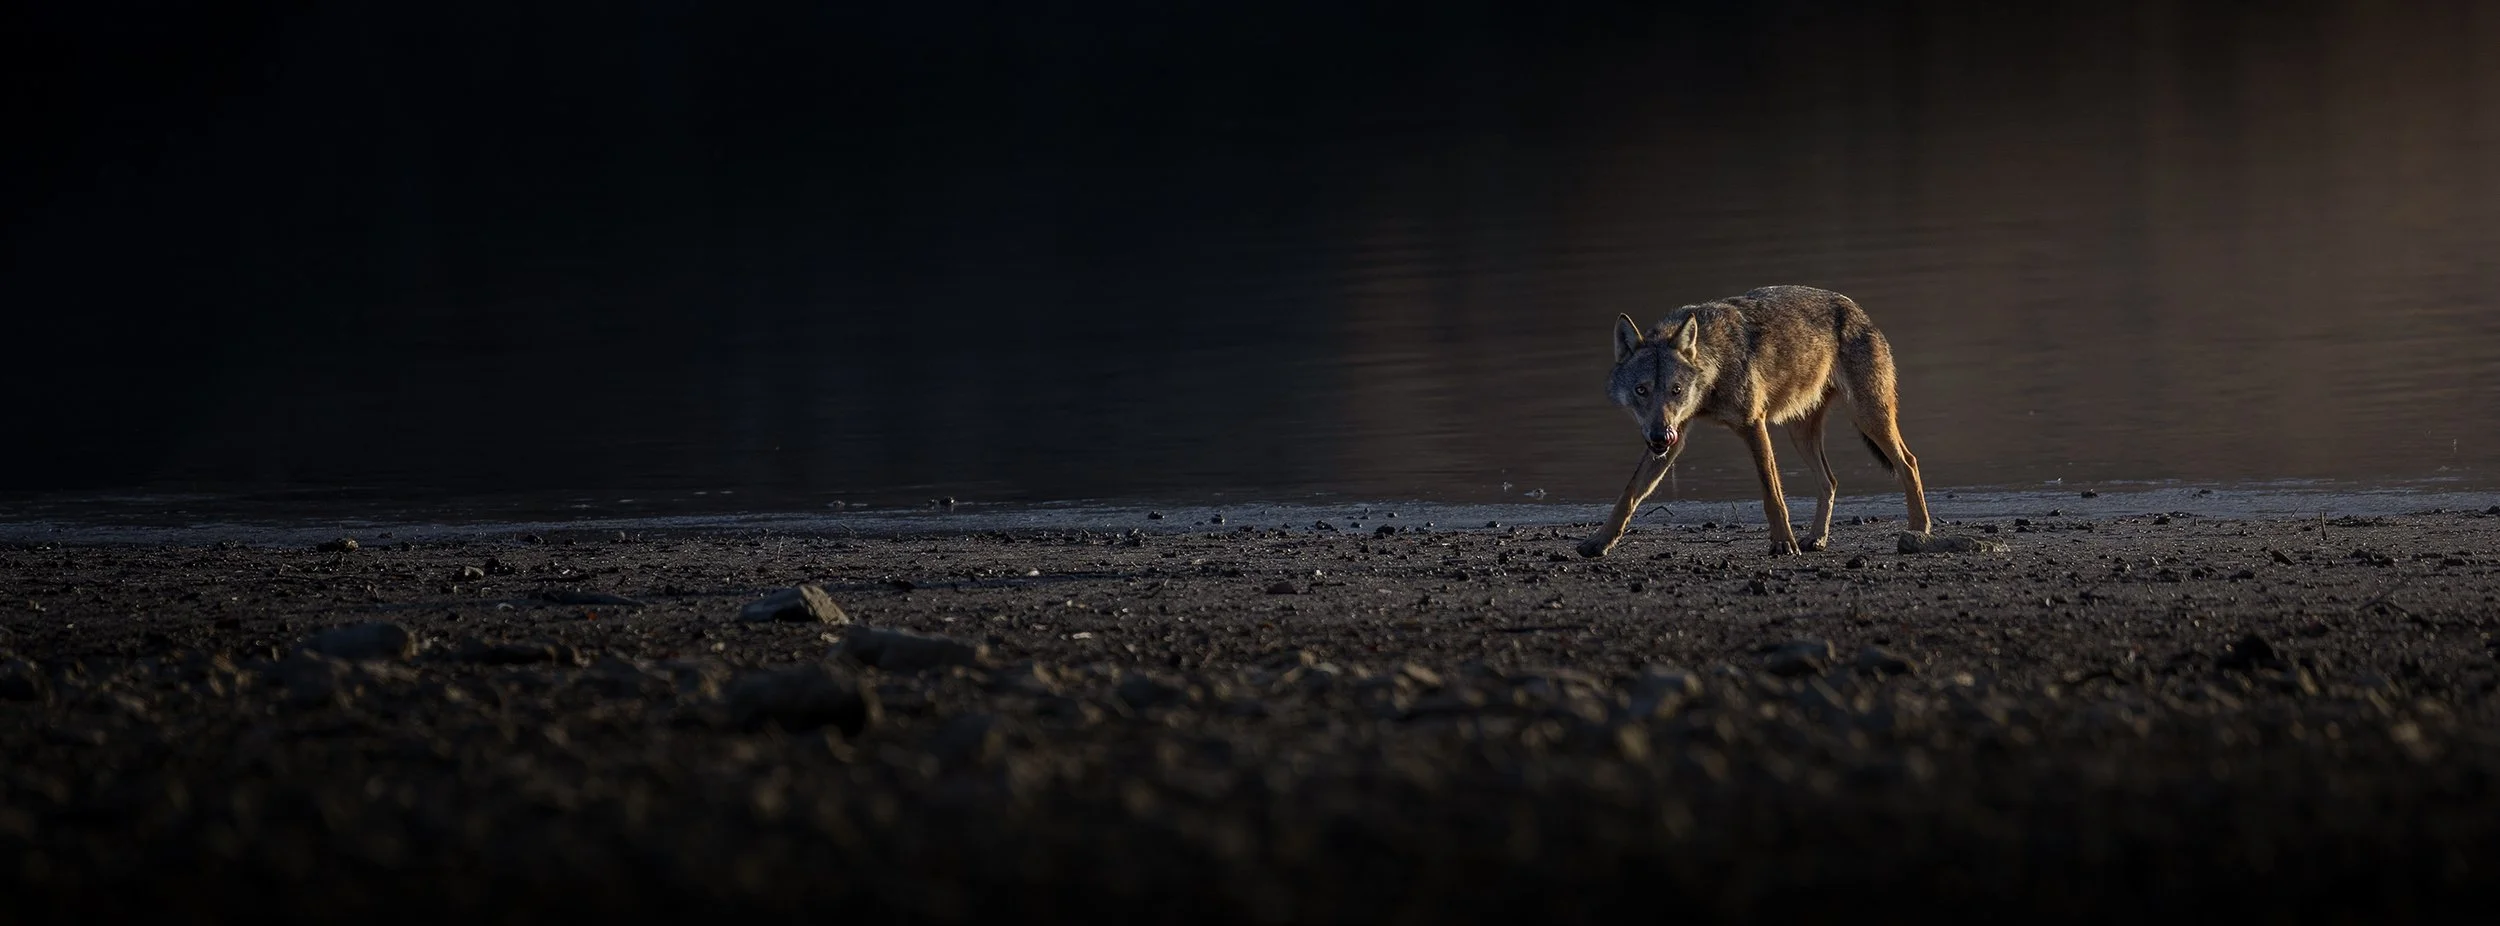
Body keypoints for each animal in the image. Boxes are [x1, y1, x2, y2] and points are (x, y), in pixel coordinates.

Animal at [1575, 285, 1932, 558]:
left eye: (1675, 390)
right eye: (1641, 390)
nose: (1661, 436)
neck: (1713, 370)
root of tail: (1856, 308)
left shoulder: (1753, 425)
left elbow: (1771, 492)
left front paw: (1783, 544)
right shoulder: (1677, 438)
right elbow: (1630, 493)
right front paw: (1599, 542)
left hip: (1868, 417)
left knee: (1909, 462)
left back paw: (1918, 530)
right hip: (1801, 434)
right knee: (1829, 481)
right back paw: (1817, 538)